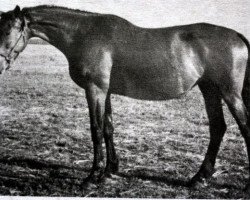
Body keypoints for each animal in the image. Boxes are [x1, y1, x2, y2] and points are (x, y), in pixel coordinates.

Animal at [0, 4, 249, 192]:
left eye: (9, 30)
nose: (0, 65)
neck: (83, 34)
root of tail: (236, 36)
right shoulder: (106, 91)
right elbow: (108, 128)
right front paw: (109, 171)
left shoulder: (95, 89)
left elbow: (96, 129)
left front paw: (91, 177)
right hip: (210, 90)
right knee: (218, 128)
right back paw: (199, 177)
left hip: (229, 93)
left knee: (243, 128)